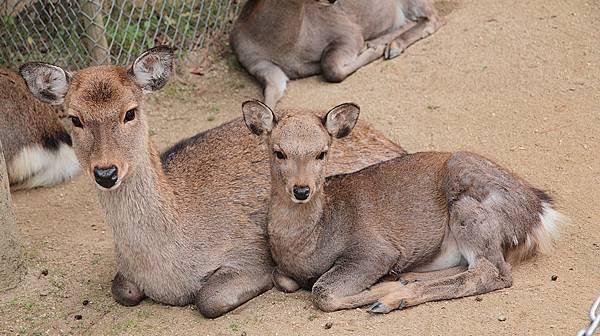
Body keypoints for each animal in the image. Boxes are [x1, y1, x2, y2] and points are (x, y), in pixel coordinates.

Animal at [19, 46, 404, 318]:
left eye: (130, 112)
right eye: (75, 118)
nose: (106, 172)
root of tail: (389, 140)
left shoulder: (247, 253)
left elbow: (209, 298)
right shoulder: (127, 276)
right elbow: (122, 290)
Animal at [232, 0, 442, 107]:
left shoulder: (348, 31)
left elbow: (331, 67)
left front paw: (373, 49)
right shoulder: (256, 63)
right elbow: (269, 96)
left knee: (433, 18)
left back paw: (390, 45)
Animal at [244, 101, 564, 314]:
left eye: (322, 152)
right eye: (279, 152)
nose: (301, 190)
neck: (308, 246)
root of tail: (540, 215)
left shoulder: (375, 249)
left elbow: (322, 292)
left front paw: (379, 291)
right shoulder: (284, 270)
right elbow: (281, 278)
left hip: (469, 208)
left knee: (492, 272)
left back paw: (391, 297)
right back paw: (404, 279)